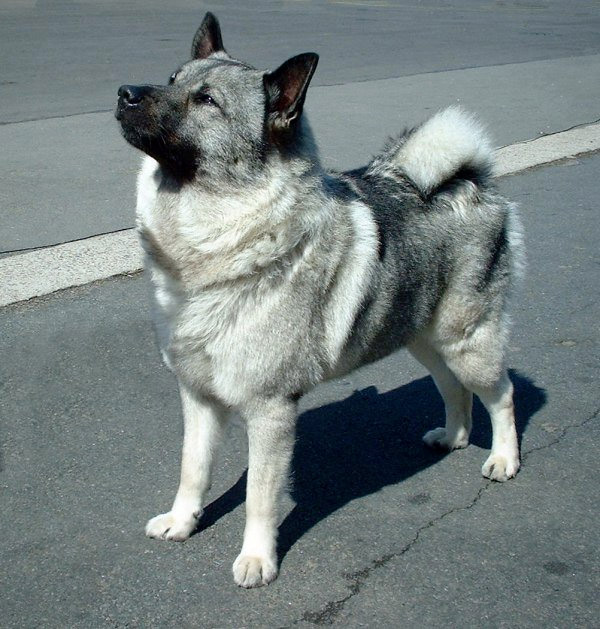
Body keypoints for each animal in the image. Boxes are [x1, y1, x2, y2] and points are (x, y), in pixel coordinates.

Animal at [115, 12, 524, 588]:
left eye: (206, 100)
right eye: (171, 79)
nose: (126, 92)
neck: (215, 236)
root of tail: (471, 183)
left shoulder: (270, 411)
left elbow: (259, 497)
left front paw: (257, 558)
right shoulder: (198, 397)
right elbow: (192, 468)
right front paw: (182, 520)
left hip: (467, 342)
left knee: (502, 394)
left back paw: (504, 459)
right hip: (422, 338)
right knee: (454, 390)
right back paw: (453, 436)